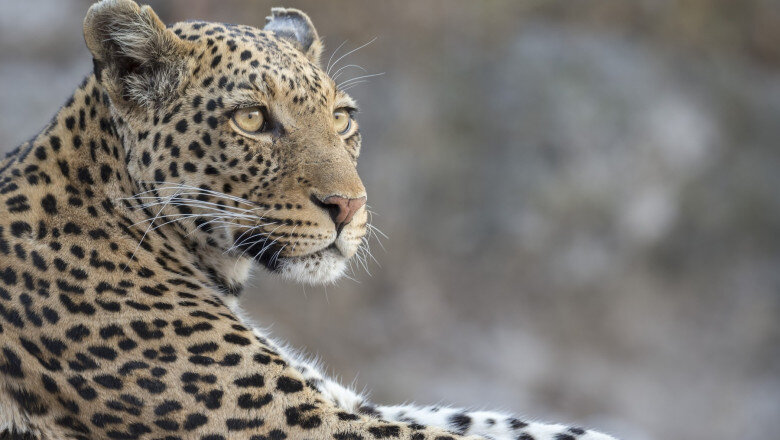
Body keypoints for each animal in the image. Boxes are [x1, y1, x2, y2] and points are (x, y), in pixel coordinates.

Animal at [0, 1, 618, 439]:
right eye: (252, 119)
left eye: (342, 119)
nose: (349, 206)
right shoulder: (308, 421)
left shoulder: (343, 400)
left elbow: (497, 423)